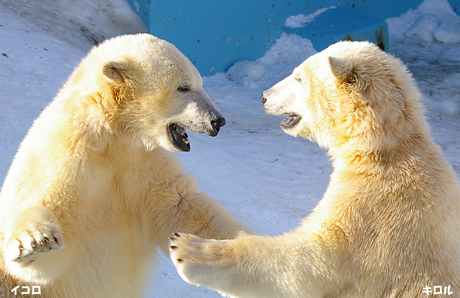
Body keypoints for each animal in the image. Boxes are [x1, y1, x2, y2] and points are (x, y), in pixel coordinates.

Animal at [0, 33, 255, 298]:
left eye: (200, 83)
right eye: (183, 87)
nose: (218, 121)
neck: (111, 137)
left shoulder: (143, 165)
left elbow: (184, 206)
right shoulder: (65, 157)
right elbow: (51, 236)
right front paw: (35, 241)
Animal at [169, 41, 460, 298]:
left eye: (298, 77)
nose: (263, 97)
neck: (384, 149)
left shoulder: (374, 216)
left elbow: (309, 264)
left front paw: (189, 249)